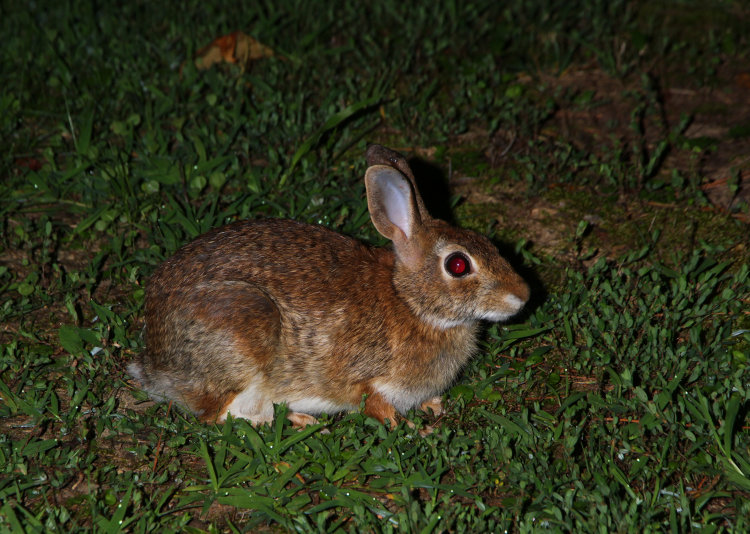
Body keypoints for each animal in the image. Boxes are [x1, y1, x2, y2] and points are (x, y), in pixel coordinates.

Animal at [128, 146, 528, 432]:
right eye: (458, 265)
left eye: (488, 244)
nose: (522, 296)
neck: (410, 301)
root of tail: (156, 363)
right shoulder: (368, 380)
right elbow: (377, 406)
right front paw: (413, 428)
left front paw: (433, 406)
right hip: (241, 330)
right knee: (218, 414)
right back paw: (295, 421)